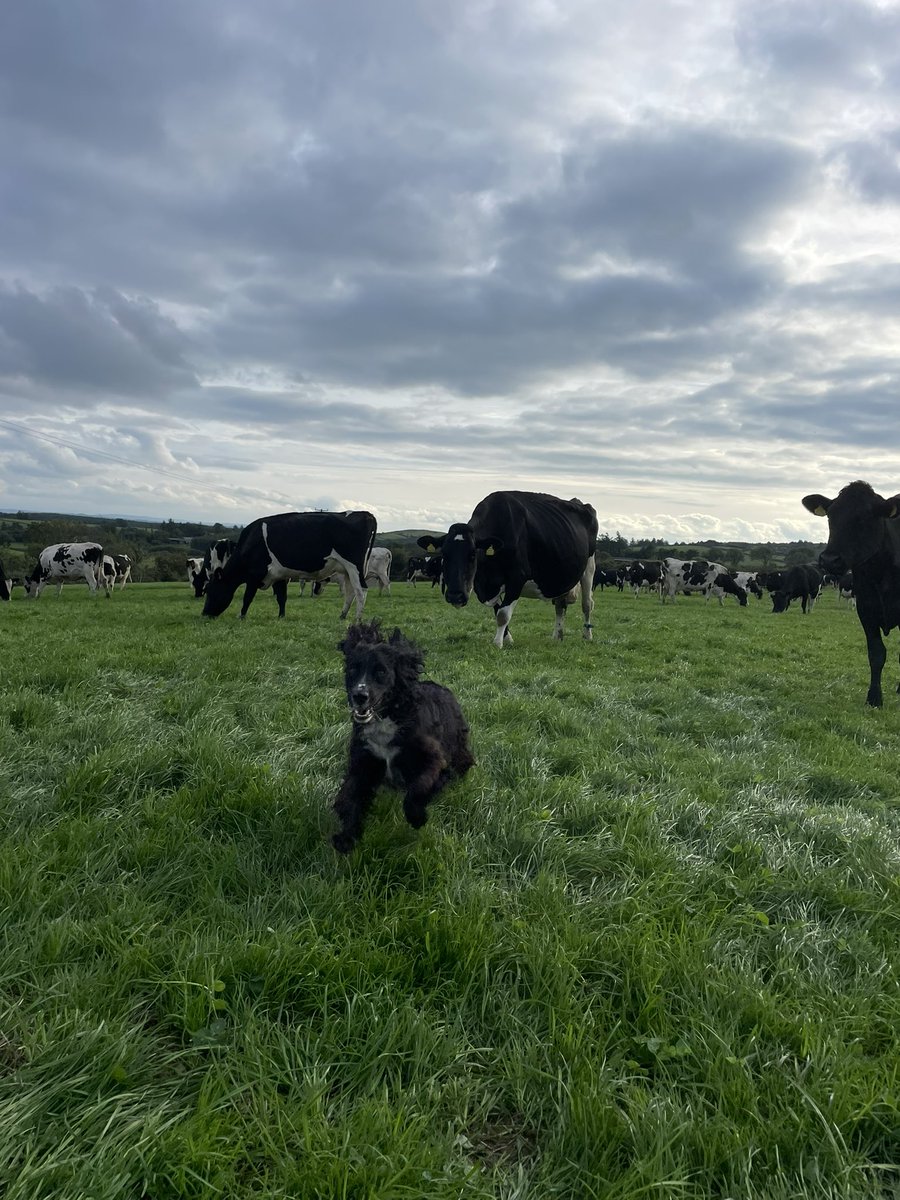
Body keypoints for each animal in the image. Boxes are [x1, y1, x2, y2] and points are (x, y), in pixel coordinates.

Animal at [203, 509, 377, 621]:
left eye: (211, 591)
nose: (204, 614)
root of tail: (366, 514)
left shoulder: (254, 575)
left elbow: (247, 597)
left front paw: (241, 616)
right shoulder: (279, 575)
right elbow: (282, 597)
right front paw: (281, 616)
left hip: (354, 566)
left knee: (361, 591)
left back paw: (357, 619)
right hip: (347, 570)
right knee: (350, 592)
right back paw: (342, 615)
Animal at [419, 490, 598, 647]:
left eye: (473, 555)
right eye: (444, 554)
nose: (455, 596)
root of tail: (578, 502)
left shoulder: (517, 578)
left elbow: (503, 615)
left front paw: (498, 644)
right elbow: (497, 610)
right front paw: (508, 639)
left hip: (589, 567)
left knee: (587, 604)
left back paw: (587, 636)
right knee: (560, 605)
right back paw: (557, 636)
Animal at [803, 482, 900, 706]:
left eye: (864, 517)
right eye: (830, 517)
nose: (830, 560)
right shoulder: (866, 609)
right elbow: (876, 654)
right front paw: (874, 698)